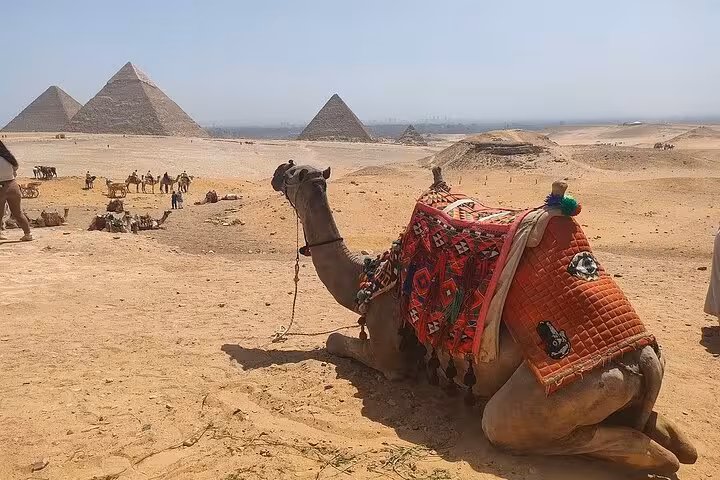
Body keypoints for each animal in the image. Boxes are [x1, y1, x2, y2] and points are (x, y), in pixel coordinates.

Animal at [271, 161, 697, 474]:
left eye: (295, 174)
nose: (279, 170)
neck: (369, 275)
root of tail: (642, 355)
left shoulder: (391, 350)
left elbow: (335, 342)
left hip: (567, 392)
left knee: (511, 427)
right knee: (671, 437)